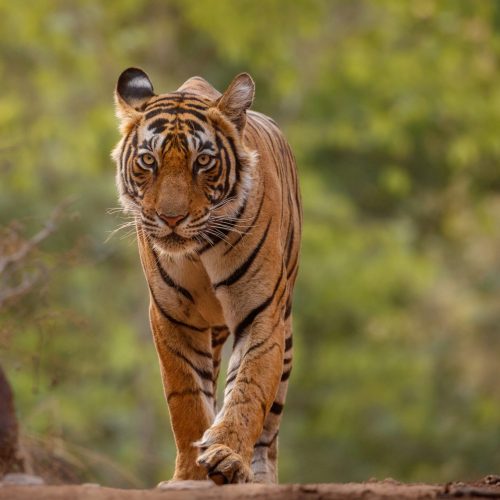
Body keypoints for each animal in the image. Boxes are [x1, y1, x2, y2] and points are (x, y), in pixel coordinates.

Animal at [112, 67, 300, 484]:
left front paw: (227, 457)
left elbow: (249, 388)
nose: (171, 218)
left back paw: (258, 476)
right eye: (148, 160)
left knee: (269, 428)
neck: (198, 252)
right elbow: (186, 400)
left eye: (203, 161)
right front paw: (188, 476)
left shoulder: (262, 311)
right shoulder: (172, 317)